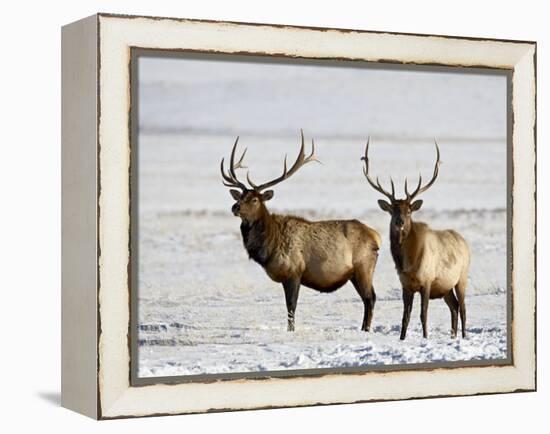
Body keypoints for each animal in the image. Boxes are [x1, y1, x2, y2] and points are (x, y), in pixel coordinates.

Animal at [222, 131, 382, 330]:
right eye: (240, 196)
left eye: (255, 199)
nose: (235, 207)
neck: (268, 247)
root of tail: (376, 236)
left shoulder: (294, 272)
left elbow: (291, 307)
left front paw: (291, 330)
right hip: (356, 273)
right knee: (367, 299)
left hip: (363, 267)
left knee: (370, 298)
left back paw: (365, 329)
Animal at [364, 139, 472, 340]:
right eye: (392, 210)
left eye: (409, 211)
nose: (399, 221)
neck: (409, 263)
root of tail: (464, 241)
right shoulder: (406, 285)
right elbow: (405, 317)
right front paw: (402, 338)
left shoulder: (427, 281)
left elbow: (423, 314)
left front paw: (425, 337)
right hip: (445, 287)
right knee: (453, 307)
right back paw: (453, 336)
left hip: (462, 277)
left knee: (462, 308)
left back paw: (462, 336)